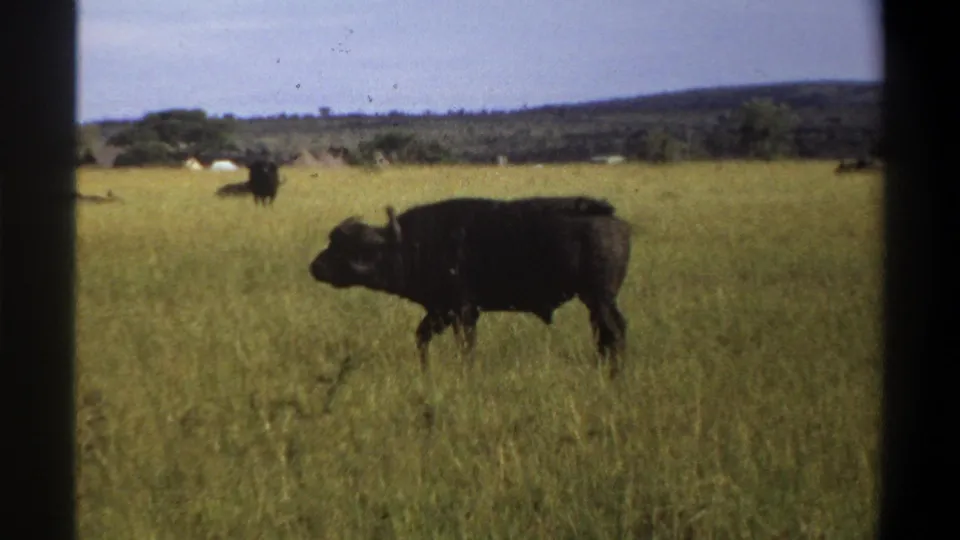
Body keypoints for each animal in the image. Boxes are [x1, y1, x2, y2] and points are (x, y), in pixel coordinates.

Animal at [308, 196, 632, 377]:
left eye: (351, 248)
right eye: (333, 242)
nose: (315, 266)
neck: (413, 245)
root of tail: (609, 218)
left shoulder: (462, 312)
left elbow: (465, 348)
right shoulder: (439, 312)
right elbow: (421, 338)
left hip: (599, 299)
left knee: (613, 333)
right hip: (596, 302)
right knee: (604, 335)